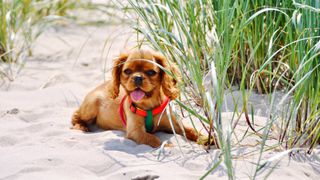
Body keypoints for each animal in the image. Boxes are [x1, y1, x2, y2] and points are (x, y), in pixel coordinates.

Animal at [71, 49, 199, 148]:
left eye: (151, 72)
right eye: (127, 71)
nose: (137, 77)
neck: (149, 105)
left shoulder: (175, 125)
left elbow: (191, 130)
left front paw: (203, 139)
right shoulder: (136, 131)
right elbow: (153, 139)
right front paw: (166, 146)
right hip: (91, 106)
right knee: (75, 115)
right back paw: (81, 126)